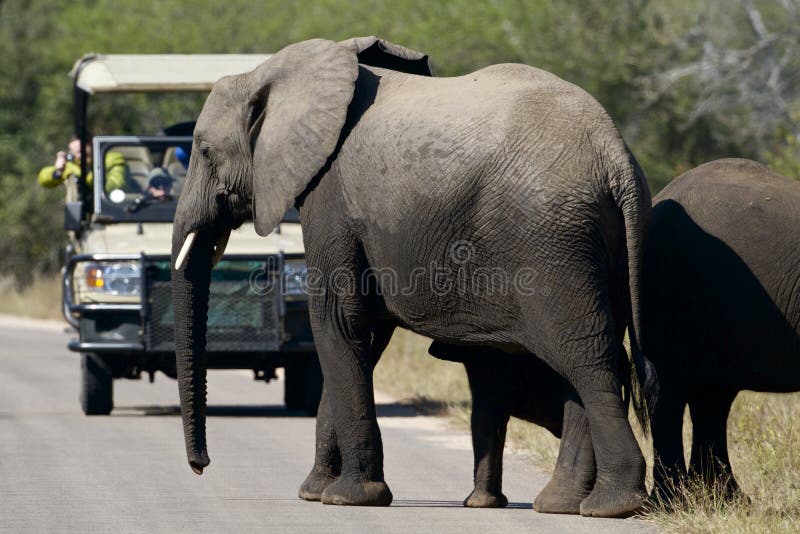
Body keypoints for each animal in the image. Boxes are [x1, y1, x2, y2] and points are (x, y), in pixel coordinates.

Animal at [170, 36, 656, 520]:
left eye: (205, 151)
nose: (200, 466)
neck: (276, 72)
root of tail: (617, 160)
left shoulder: (330, 197)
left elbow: (337, 323)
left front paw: (349, 497)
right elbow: (366, 334)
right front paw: (315, 492)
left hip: (552, 242)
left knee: (587, 360)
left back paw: (612, 504)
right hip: (600, 246)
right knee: (590, 363)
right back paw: (562, 503)